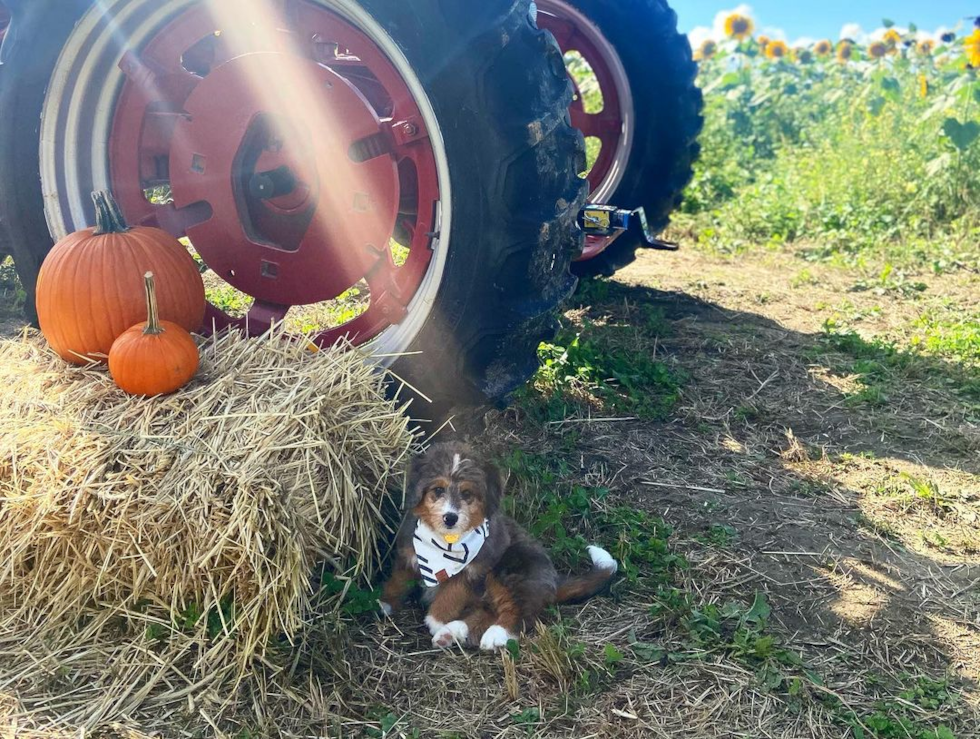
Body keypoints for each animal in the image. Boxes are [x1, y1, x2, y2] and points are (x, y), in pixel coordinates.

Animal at [378, 442, 616, 652]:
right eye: (438, 490)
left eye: (467, 494)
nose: (450, 518)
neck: (445, 543)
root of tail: (553, 578)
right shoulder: (407, 553)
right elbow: (398, 580)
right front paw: (384, 603)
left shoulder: (475, 569)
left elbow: (452, 593)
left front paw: (435, 620)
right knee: (486, 612)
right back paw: (451, 633)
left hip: (510, 568)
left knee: (519, 610)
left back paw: (495, 635)